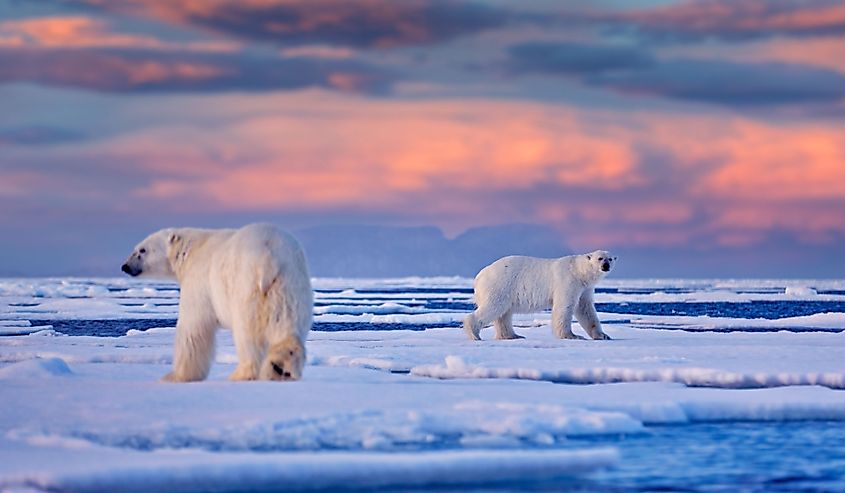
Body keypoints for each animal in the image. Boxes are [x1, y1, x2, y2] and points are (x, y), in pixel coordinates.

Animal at [120, 222, 312, 380]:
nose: (125, 266)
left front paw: (176, 376)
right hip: (289, 285)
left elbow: (193, 328)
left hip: (245, 287)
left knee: (247, 335)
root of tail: (269, 256)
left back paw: (241, 374)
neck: (190, 250)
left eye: (142, 250)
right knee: (286, 323)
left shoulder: (199, 281)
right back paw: (280, 368)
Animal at [464, 252, 616, 340]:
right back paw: (474, 334)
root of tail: (480, 276)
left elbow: (585, 309)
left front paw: (603, 335)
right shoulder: (568, 281)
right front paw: (572, 335)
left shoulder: (585, 288)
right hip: (500, 285)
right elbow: (564, 307)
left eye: (610, 259)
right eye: (600, 258)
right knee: (494, 307)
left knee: (503, 314)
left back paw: (513, 336)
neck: (578, 271)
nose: (606, 265)